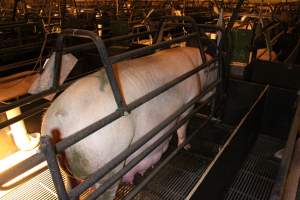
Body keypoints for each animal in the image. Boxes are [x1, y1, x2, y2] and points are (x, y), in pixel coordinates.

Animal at [41, 46, 216, 198]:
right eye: (214, 67)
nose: (215, 91)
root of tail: (58, 122)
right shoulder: (190, 99)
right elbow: (182, 127)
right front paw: (186, 146)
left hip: (70, 173)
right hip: (107, 165)